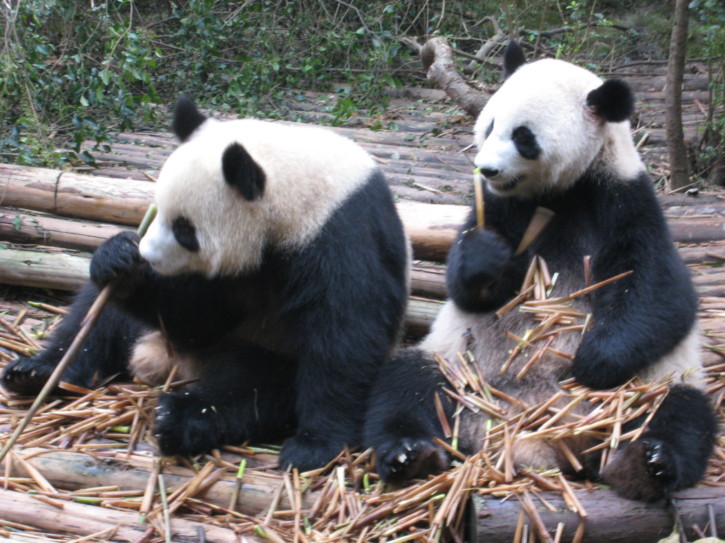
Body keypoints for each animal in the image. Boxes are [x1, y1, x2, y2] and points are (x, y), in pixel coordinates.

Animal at [2, 96, 411, 471]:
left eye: (185, 230)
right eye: (158, 211)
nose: (148, 256)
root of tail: (164, 363)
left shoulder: (338, 232)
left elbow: (345, 334)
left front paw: (315, 445)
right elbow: (196, 317)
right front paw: (120, 260)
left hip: (261, 350)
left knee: (250, 391)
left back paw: (176, 419)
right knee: (95, 320)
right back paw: (36, 373)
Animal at [364, 41, 717, 501]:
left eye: (523, 137)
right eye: (490, 124)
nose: (486, 169)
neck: (562, 192)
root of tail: (541, 443)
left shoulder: (624, 199)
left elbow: (659, 292)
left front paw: (592, 364)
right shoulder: (502, 206)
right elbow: (465, 287)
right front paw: (484, 257)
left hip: (656, 383)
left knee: (679, 412)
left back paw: (646, 464)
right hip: (459, 371)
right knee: (407, 387)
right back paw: (410, 454)